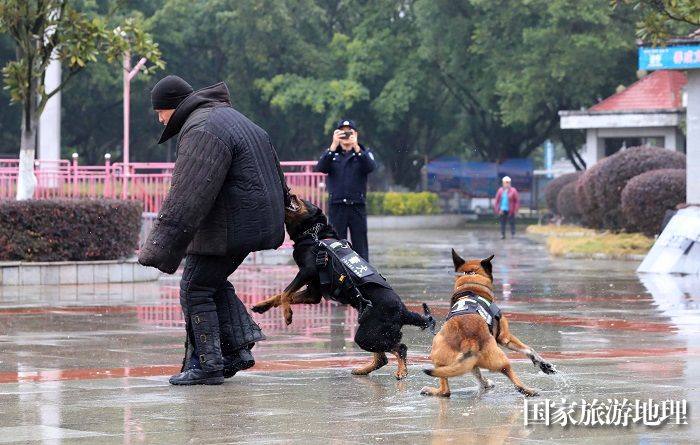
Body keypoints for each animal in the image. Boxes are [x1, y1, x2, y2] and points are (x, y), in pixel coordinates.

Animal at [253, 194, 432, 378]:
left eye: (303, 200)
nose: (290, 194)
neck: (314, 234)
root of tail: (404, 311)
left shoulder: (307, 271)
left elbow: (285, 293)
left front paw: (287, 314)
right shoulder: (313, 293)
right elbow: (282, 295)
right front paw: (262, 305)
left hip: (366, 334)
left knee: (400, 348)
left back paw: (401, 370)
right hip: (371, 332)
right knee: (382, 357)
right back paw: (362, 370)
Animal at [418, 248, 556, 398]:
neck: (471, 281)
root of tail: (469, 340)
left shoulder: (470, 361)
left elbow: (477, 373)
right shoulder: (504, 337)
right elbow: (528, 349)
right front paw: (542, 363)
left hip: (440, 355)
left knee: (446, 390)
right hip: (500, 358)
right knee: (513, 377)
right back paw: (529, 390)